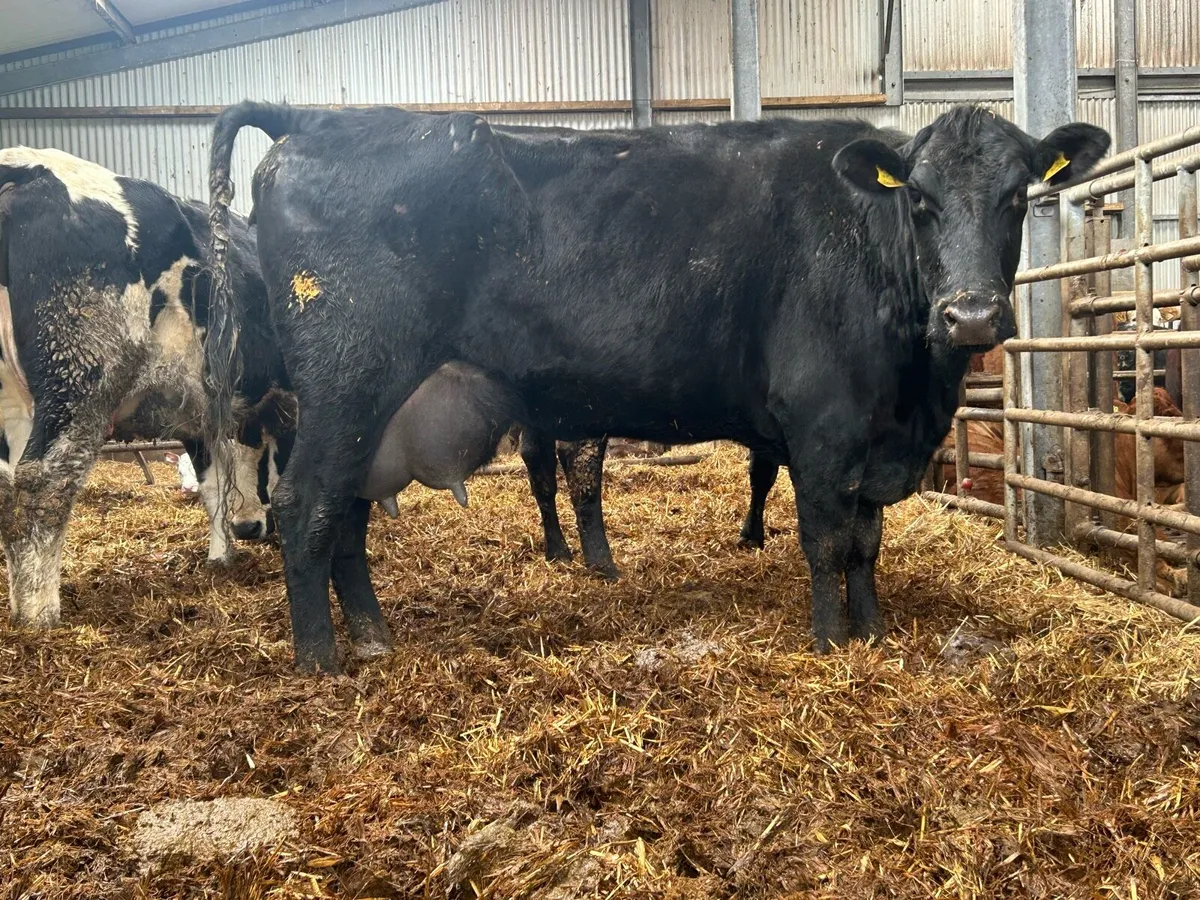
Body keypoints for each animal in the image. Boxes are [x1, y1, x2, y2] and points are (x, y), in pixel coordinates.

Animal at [0, 147, 289, 628]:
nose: (249, 528)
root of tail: (24, 167)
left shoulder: (200, 415)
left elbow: (213, 487)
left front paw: (220, 558)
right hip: (80, 381)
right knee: (43, 484)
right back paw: (39, 614)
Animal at [207, 102, 1109, 672]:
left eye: (1018, 196)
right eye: (918, 199)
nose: (971, 315)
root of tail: (317, 120)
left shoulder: (871, 440)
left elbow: (866, 543)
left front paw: (876, 631)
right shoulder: (823, 425)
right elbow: (825, 540)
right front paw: (829, 641)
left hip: (369, 406)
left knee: (348, 510)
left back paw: (371, 635)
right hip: (346, 384)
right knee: (306, 505)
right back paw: (320, 659)